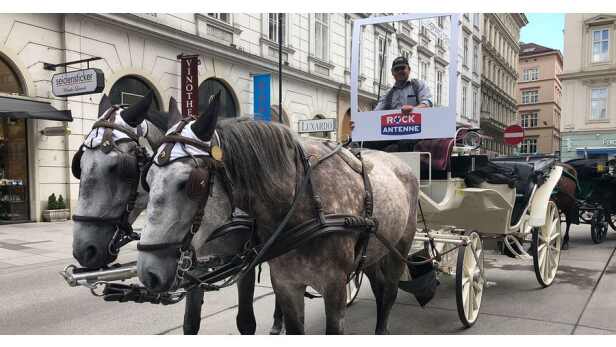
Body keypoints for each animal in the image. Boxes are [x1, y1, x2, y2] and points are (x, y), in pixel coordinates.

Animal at [139, 94, 418, 336]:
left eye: (191, 183)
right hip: (372, 252)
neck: (306, 205)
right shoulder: (286, 283)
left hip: (400, 247)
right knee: (379, 286)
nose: (148, 274)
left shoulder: (335, 288)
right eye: (147, 179)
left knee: (389, 291)